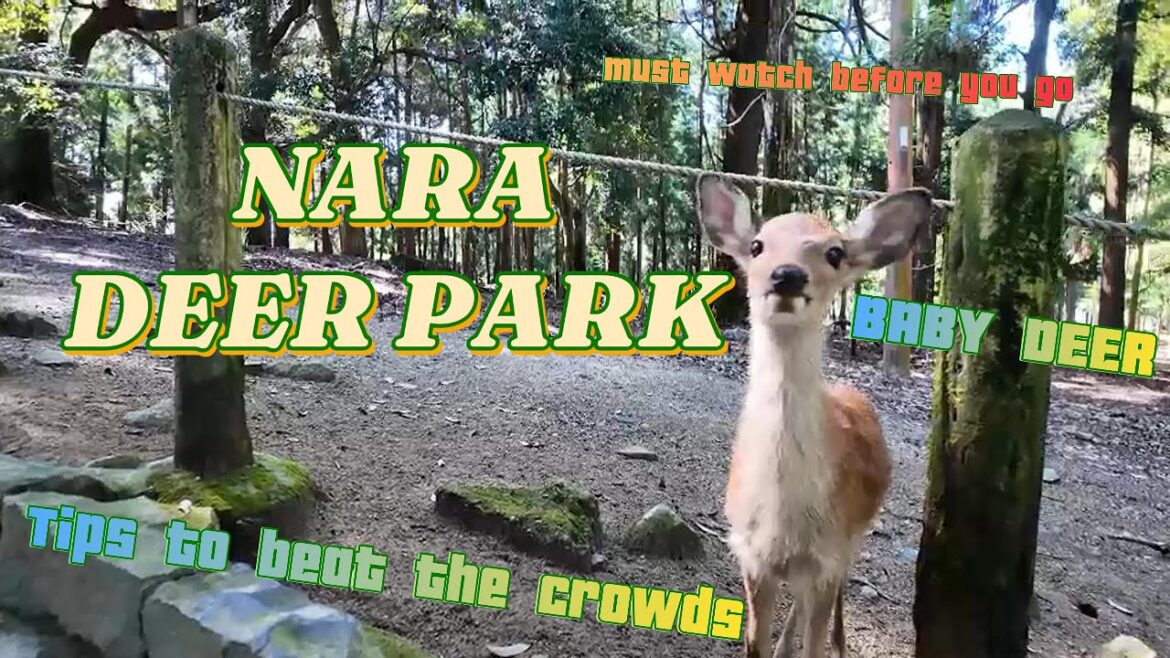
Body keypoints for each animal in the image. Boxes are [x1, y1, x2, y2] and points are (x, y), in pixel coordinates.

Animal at [696, 176, 932, 658]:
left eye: (835, 252)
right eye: (757, 246)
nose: (787, 275)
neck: (784, 521)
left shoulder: (828, 553)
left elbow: (815, 643)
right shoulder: (751, 555)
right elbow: (755, 644)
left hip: (855, 537)